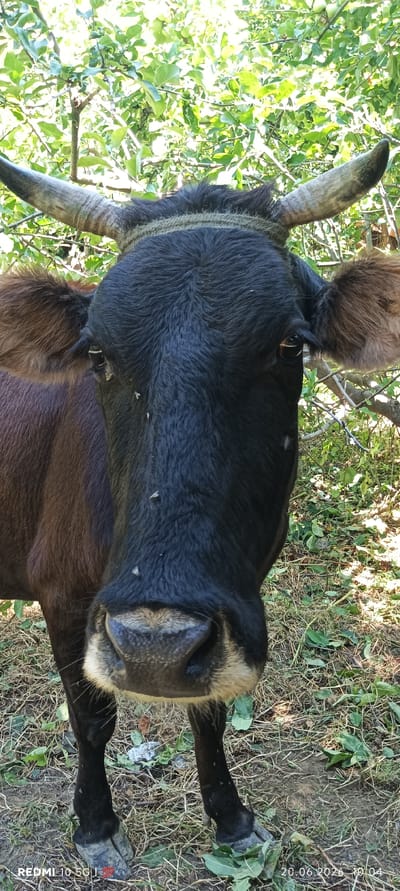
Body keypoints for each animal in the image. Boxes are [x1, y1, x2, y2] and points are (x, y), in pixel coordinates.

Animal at [0, 140, 399, 879]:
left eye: (289, 345)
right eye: (97, 353)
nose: (154, 646)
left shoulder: (234, 602)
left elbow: (209, 711)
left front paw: (231, 819)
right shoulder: (66, 596)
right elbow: (90, 716)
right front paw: (95, 824)